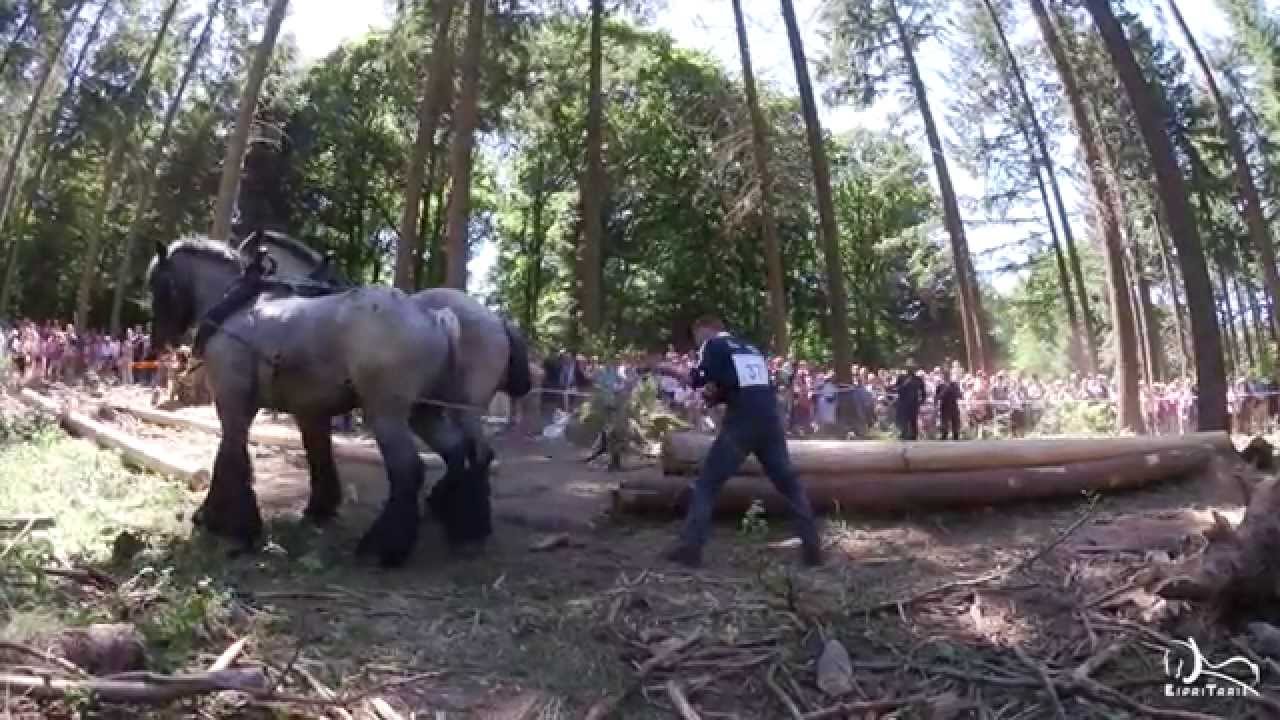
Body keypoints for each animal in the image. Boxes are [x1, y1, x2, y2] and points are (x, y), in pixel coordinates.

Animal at [147, 236, 465, 567]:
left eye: (158, 284)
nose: (159, 343)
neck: (238, 306)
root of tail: (435, 319)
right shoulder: (307, 409)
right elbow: (314, 453)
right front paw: (317, 508)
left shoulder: (232, 400)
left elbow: (230, 456)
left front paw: (230, 524)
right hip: (424, 411)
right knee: (456, 451)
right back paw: (462, 521)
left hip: (385, 413)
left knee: (408, 469)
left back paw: (385, 546)